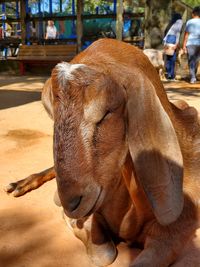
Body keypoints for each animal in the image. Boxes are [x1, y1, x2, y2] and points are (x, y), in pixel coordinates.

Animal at [6, 39, 200, 267]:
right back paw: (19, 184)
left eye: (107, 112)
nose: (70, 203)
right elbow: (104, 255)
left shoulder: (174, 233)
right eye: (51, 111)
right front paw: (69, 219)